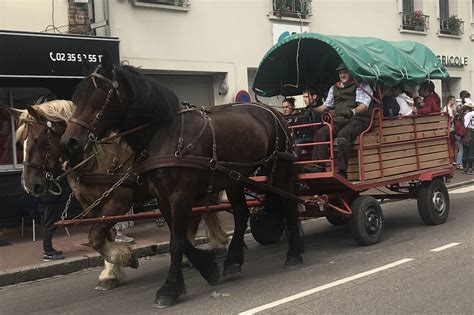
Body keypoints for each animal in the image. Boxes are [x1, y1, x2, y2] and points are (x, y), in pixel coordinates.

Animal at [6, 100, 229, 292]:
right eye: (19, 143)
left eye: (38, 139)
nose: (29, 184)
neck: (96, 157)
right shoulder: (91, 205)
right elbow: (102, 236)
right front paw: (111, 272)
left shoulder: (118, 201)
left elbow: (96, 237)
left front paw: (125, 258)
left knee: (193, 218)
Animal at [60, 58, 304, 310]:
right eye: (76, 97)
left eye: (100, 95)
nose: (69, 142)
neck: (163, 133)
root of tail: (272, 111)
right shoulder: (162, 197)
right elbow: (179, 239)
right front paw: (208, 268)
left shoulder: (178, 195)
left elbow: (177, 241)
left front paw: (170, 288)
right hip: (235, 178)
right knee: (241, 214)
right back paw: (233, 261)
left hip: (280, 168)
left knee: (287, 204)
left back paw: (294, 254)